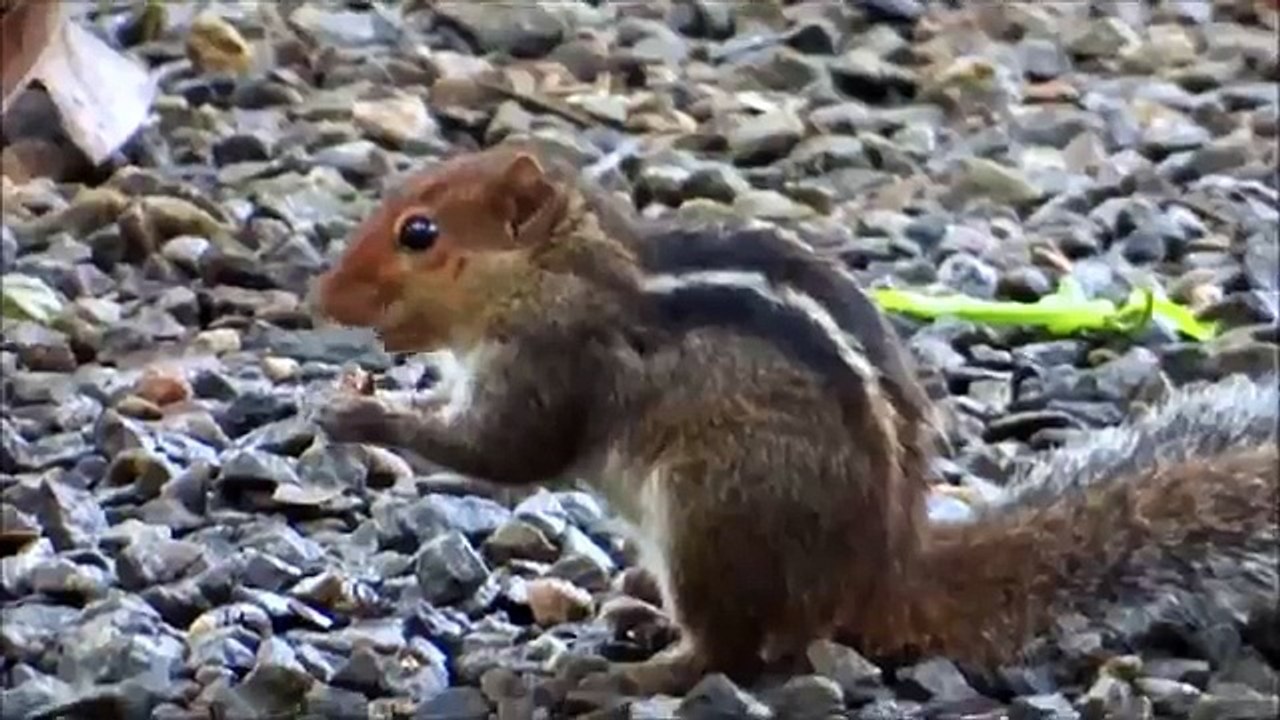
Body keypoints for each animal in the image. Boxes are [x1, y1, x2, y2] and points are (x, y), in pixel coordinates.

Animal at [306, 139, 1280, 696]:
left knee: (736, 650)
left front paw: (360, 415)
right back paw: (636, 613)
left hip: (710, 516)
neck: (559, 270)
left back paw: (631, 673)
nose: (321, 298)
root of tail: (884, 574)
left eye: (420, 234)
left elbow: (510, 451)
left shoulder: (553, 361)